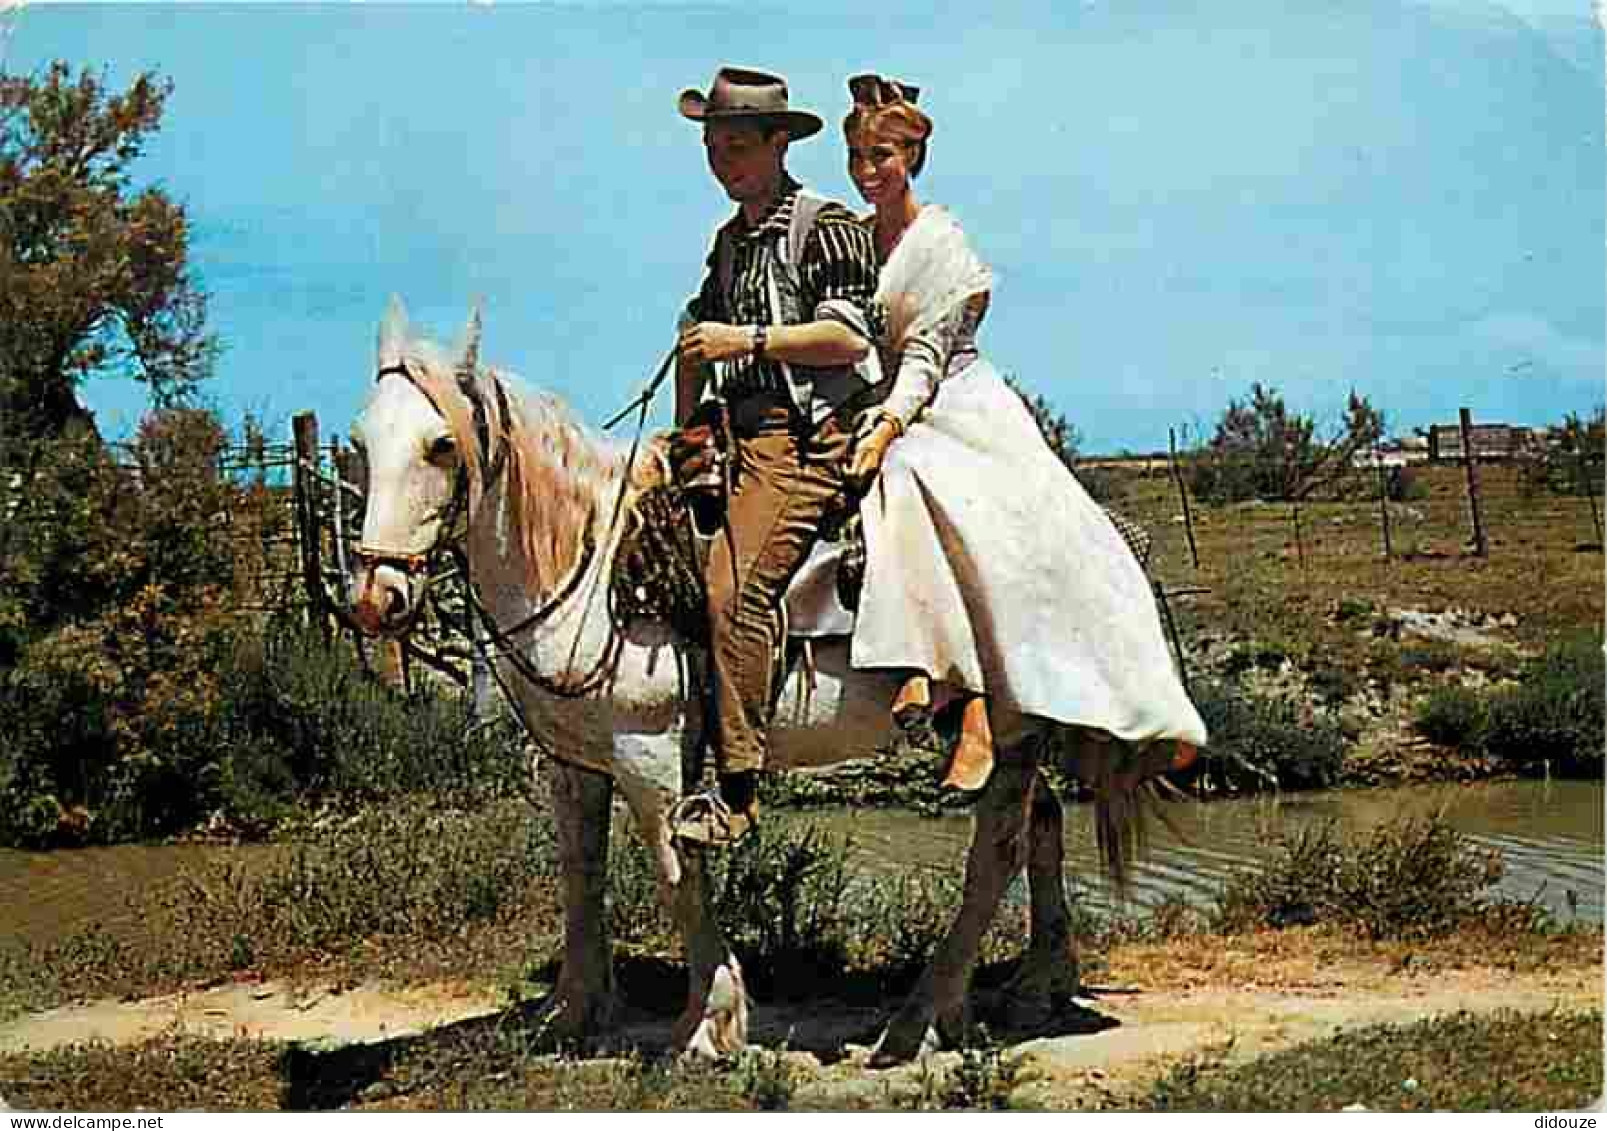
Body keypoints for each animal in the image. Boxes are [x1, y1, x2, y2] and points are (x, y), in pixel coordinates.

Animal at [351, 300, 1157, 1060]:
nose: (375, 596)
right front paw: (572, 1014)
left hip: (1013, 731)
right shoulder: (571, 762)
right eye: (359, 444)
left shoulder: (650, 755)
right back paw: (1036, 985)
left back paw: (922, 1018)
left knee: (997, 849)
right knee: (1043, 824)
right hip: (1000, 727)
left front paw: (710, 1023)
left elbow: (676, 873)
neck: (594, 568)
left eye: (441, 444)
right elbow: (581, 873)